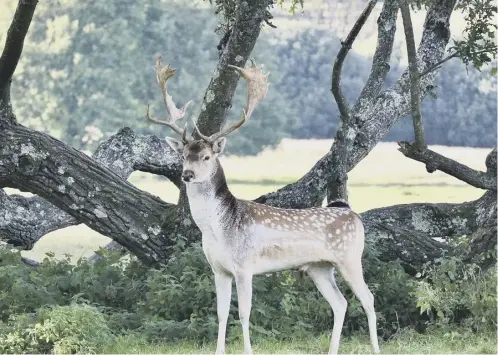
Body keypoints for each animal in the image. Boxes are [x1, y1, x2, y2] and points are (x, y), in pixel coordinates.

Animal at [146, 56, 380, 355]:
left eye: (207, 156)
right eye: (185, 155)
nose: (187, 174)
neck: (218, 229)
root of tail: (353, 214)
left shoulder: (245, 266)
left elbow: (244, 312)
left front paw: (247, 350)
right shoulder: (218, 269)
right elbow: (221, 313)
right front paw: (219, 351)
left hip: (350, 257)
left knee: (369, 298)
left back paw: (375, 349)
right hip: (319, 266)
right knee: (340, 303)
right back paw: (332, 350)